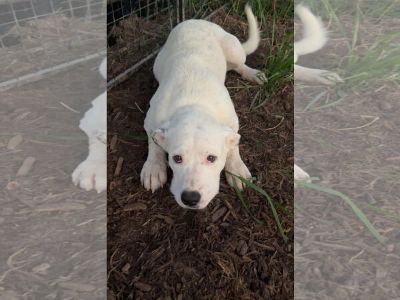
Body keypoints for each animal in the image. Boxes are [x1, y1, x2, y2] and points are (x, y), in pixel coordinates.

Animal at [139, 4, 264, 209]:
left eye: (211, 158)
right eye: (176, 158)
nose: (190, 198)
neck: (194, 103)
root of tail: (196, 21)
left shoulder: (232, 122)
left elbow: (233, 145)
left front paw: (236, 167)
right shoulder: (150, 120)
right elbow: (154, 143)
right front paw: (154, 167)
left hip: (234, 49)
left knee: (239, 64)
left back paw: (251, 73)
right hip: (158, 63)